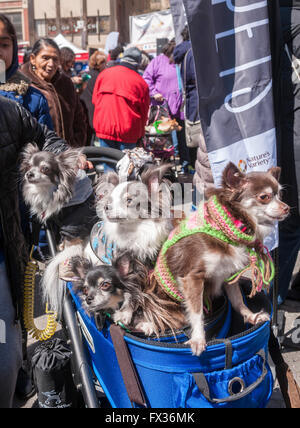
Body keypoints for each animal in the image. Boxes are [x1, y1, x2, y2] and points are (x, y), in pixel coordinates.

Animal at [151, 162, 290, 356]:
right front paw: (198, 338)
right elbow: (196, 311)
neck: (225, 228)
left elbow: (238, 300)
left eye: (280, 195)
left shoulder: (229, 274)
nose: (287, 208)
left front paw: (251, 316)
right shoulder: (192, 277)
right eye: (264, 197)